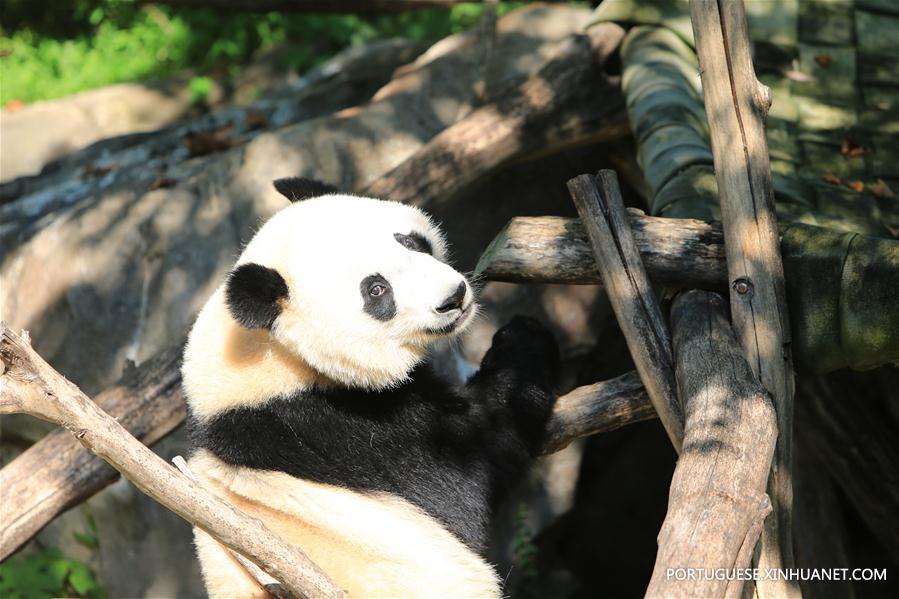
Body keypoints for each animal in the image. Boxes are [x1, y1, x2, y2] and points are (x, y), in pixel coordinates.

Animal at [184, 179, 560, 599]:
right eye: (377, 290)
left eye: (409, 241)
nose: (453, 297)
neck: (270, 357)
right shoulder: (331, 431)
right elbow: (463, 477)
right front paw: (525, 341)